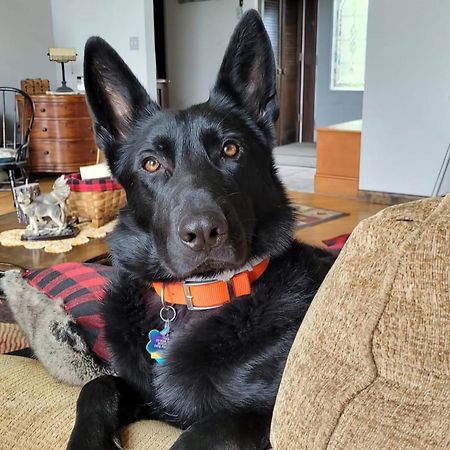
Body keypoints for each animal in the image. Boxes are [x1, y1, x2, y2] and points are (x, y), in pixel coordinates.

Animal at [67, 10, 334, 450]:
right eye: (151, 163)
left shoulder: (261, 416)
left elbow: (197, 433)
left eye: (230, 149)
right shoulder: (139, 391)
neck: (195, 297)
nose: (204, 232)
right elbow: (97, 386)